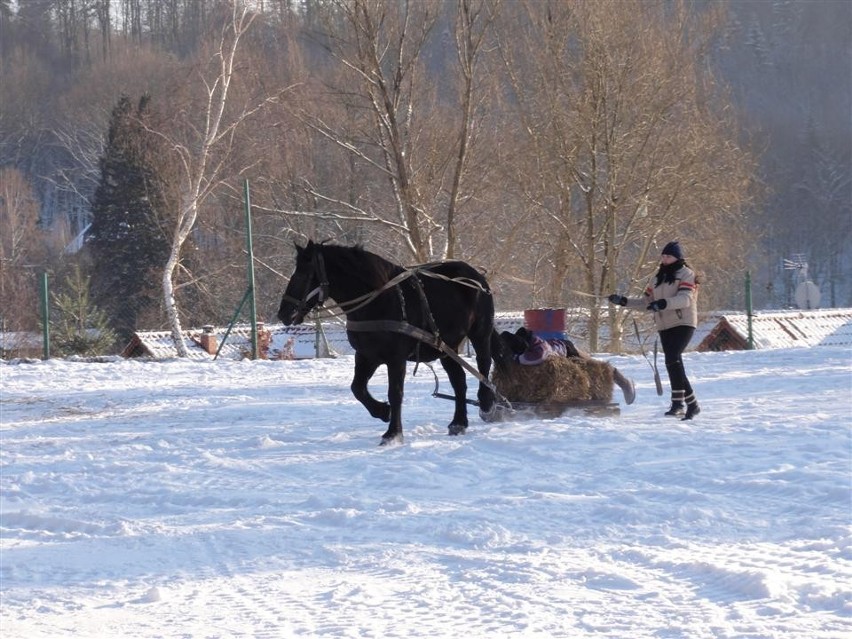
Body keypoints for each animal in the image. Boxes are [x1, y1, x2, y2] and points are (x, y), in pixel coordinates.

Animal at [278, 240, 500, 444]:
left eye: (304, 274)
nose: (284, 314)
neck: (378, 301)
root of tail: (476, 277)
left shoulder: (396, 358)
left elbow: (395, 393)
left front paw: (393, 433)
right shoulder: (366, 355)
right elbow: (357, 388)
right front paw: (382, 411)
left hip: (479, 334)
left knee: (483, 364)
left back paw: (486, 402)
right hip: (446, 346)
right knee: (458, 381)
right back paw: (458, 423)